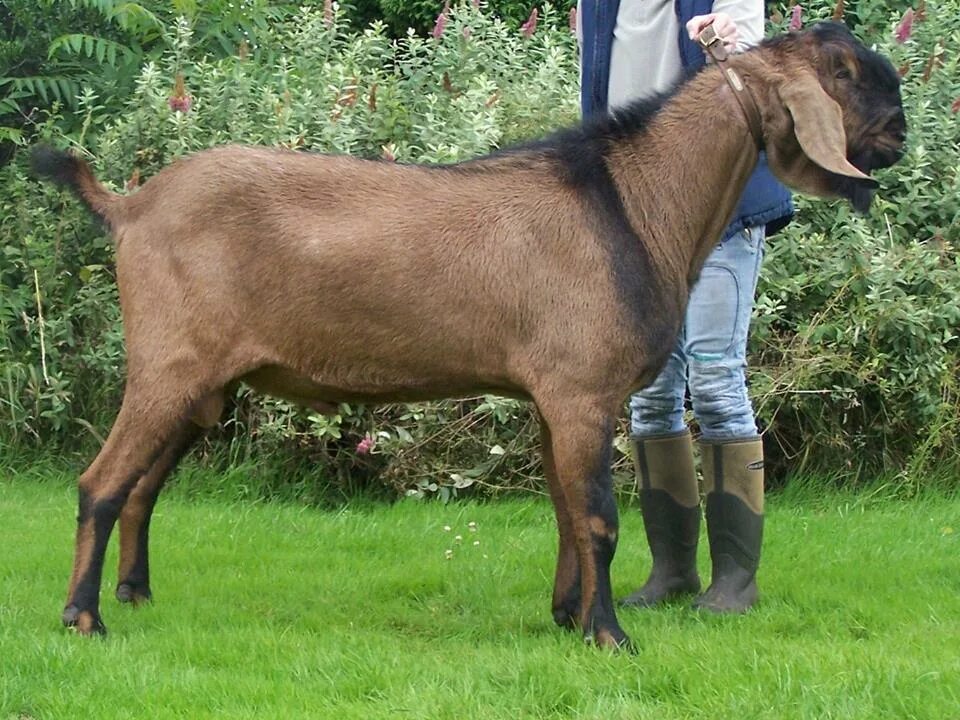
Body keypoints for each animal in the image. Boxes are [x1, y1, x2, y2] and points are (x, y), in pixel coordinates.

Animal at [35, 23, 908, 652]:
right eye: (846, 71)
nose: (900, 136)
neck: (633, 203)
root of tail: (130, 206)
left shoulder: (553, 396)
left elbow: (564, 508)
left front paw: (566, 615)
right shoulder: (582, 390)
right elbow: (598, 517)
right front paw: (609, 636)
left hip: (204, 382)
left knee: (142, 485)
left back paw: (134, 595)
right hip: (169, 361)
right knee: (100, 482)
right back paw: (83, 619)